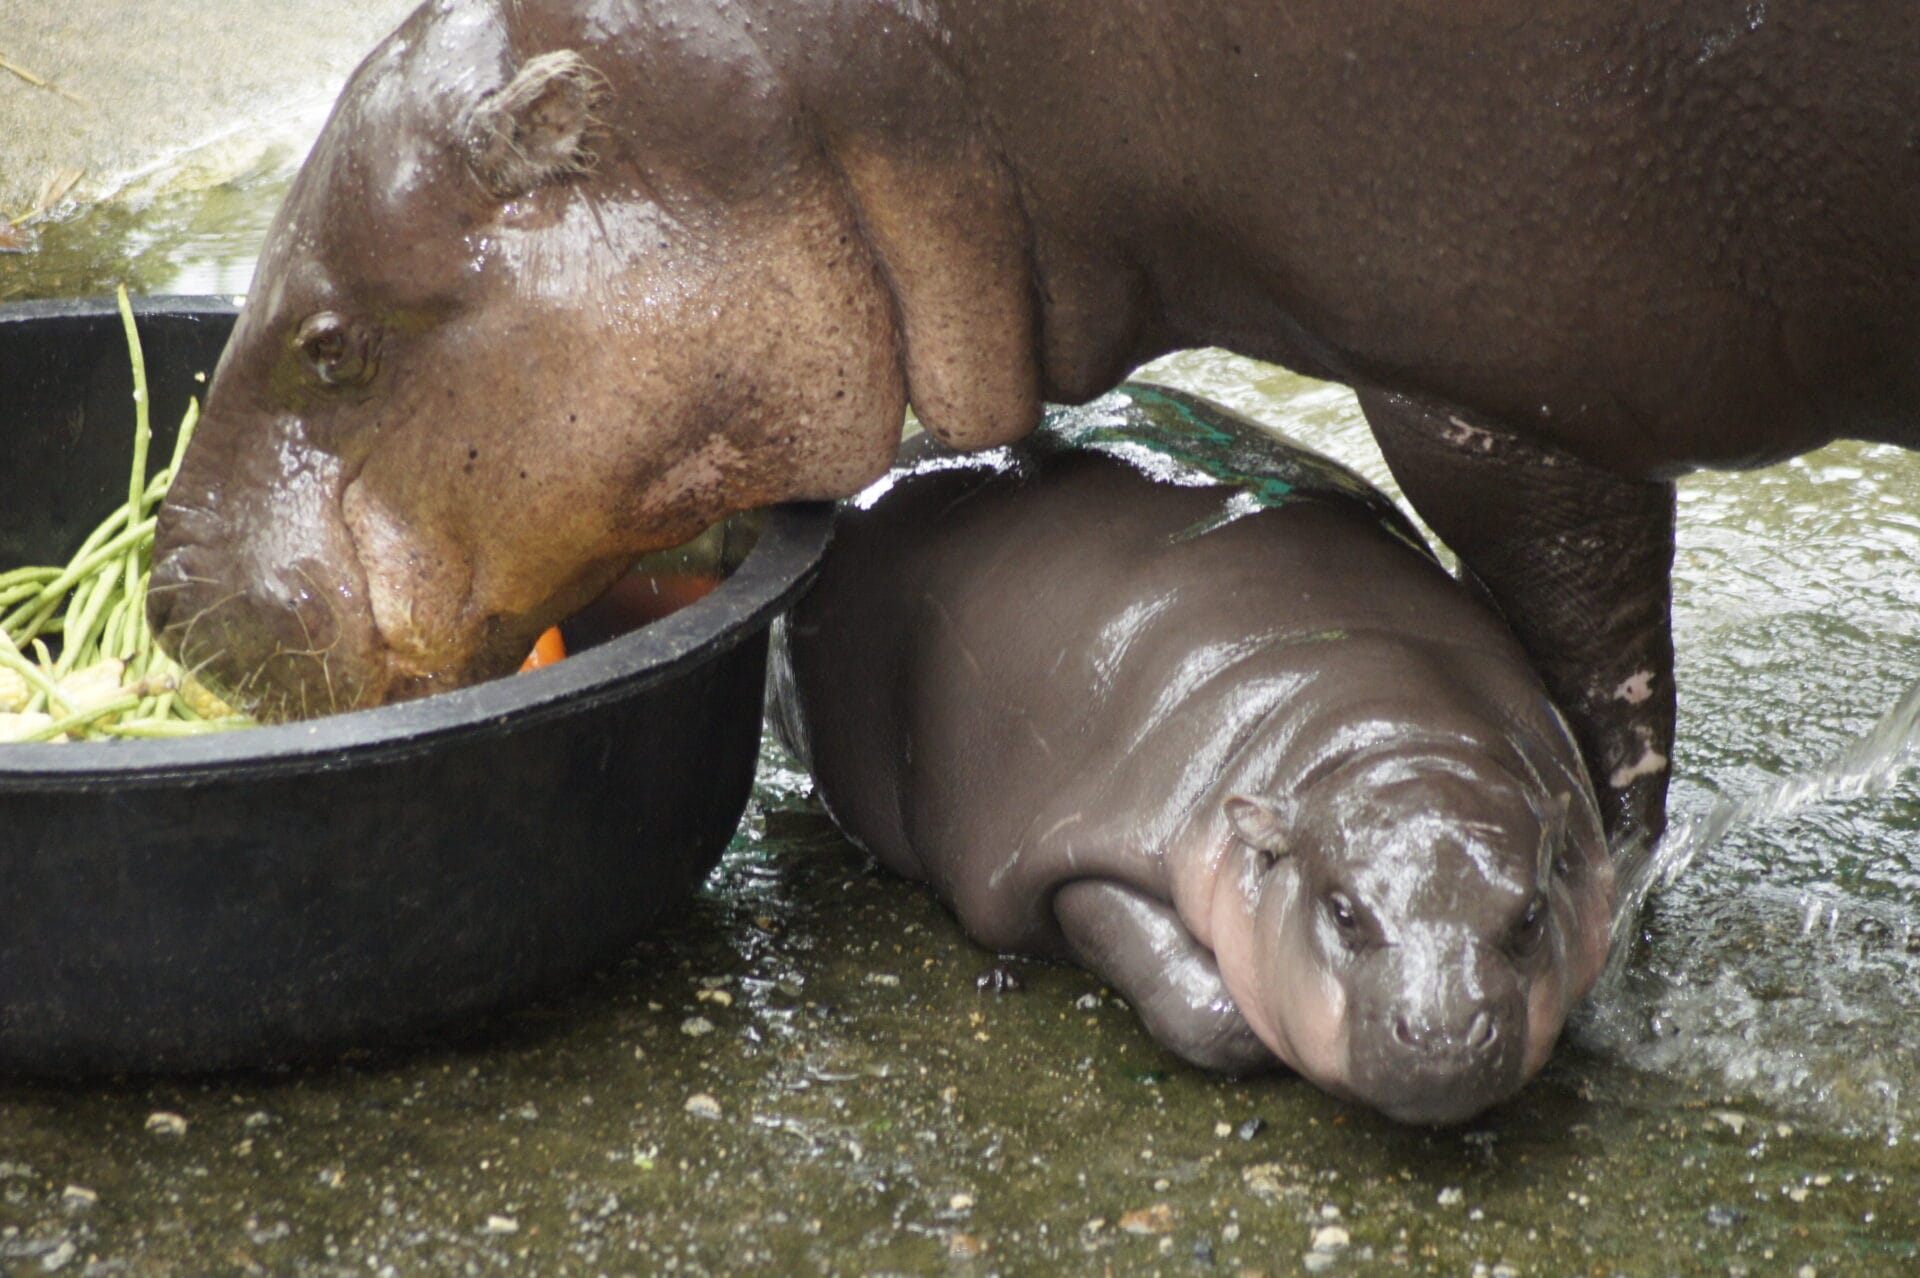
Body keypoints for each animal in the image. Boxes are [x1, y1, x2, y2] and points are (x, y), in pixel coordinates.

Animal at [771, 383, 1612, 1120]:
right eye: (1342, 912)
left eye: (1531, 916)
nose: (1443, 1035)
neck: (1387, 733)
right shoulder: (1089, 844)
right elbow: (1201, 1001)